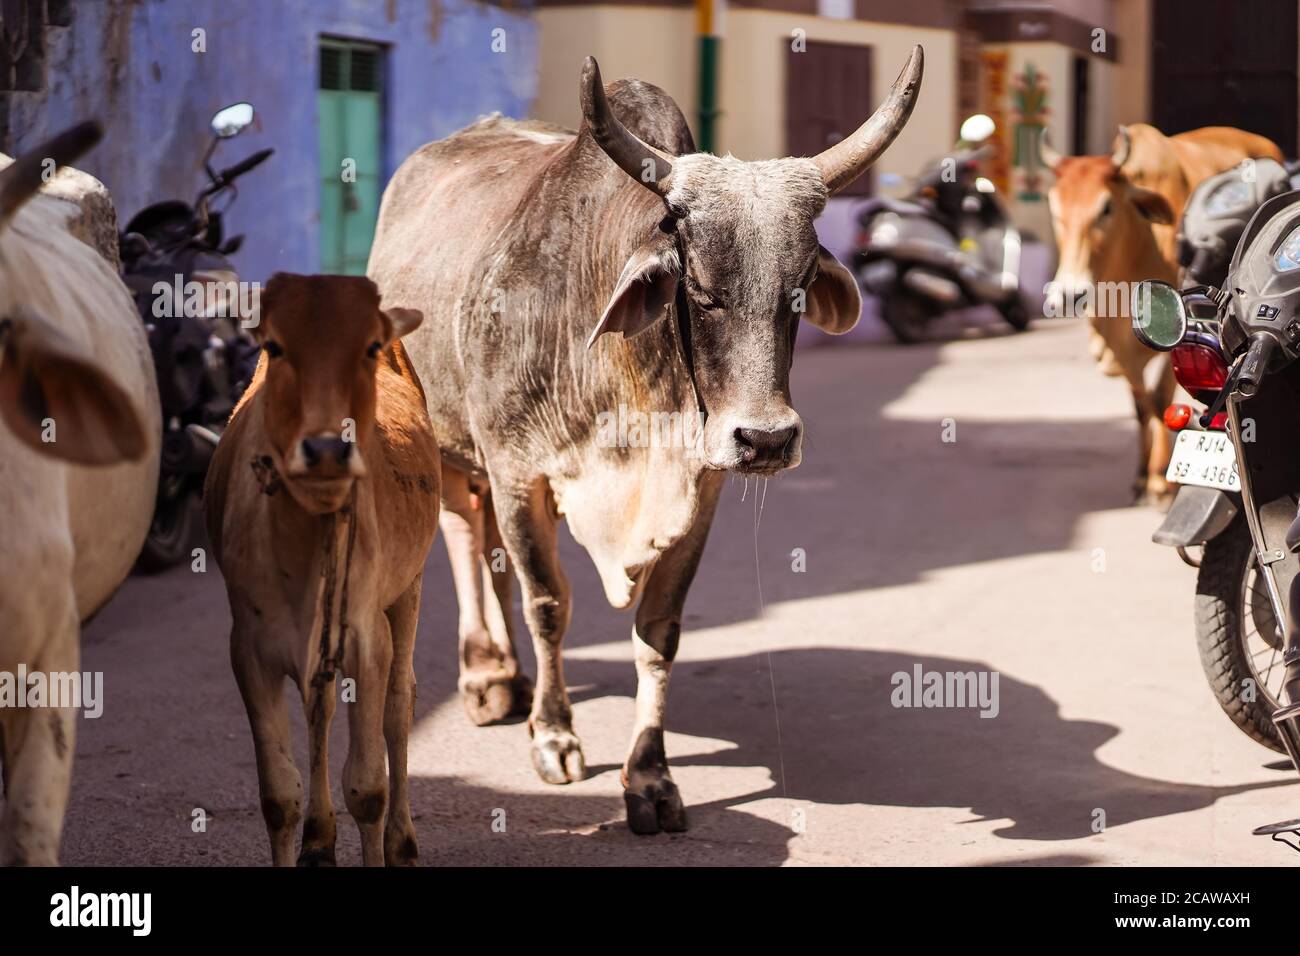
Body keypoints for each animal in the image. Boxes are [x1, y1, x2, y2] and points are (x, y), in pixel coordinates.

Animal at [205, 274, 439, 868]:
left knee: (400, 704)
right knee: (322, 706)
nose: (328, 449)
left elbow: (369, 787)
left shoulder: (367, 639)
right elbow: (278, 796)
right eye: (274, 345)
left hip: (409, 590)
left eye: (370, 347)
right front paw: (309, 832)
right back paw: (319, 837)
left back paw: (402, 841)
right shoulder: (249, 649)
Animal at [366, 48, 925, 832]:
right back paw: (484, 674)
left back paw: (505, 677)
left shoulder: (701, 489)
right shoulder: (518, 470)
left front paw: (650, 777)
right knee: (463, 534)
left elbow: (658, 631)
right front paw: (555, 736)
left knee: (489, 547)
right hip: (449, 439)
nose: (766, 439)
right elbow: (549, 604)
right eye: (700, 288)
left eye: (801, 285)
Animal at [1034, 122, 1279, 502]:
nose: (1070, 294)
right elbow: (1141, 405)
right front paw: (1141, 475)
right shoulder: (1117, 344)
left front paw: (1160, 482)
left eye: (1106, 208)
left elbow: (1161, 400)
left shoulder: (1178, 331)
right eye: (1055, 207)